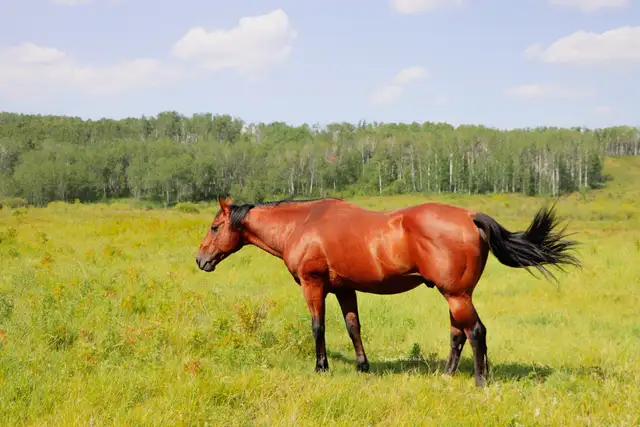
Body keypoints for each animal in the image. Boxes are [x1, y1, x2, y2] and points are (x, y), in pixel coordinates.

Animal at [196, 195, 580, 387]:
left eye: (214, 227)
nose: (201, 260)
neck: (301, 224)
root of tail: (470, 216)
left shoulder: (314, 284)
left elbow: (318, 327)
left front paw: (321, 367)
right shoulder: (344, 289)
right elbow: (353, 327)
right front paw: (362, 367)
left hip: (457, 295)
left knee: (476, 332)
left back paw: (480, 381)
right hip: (455, 296)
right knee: (458, 333)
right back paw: (447, 375)